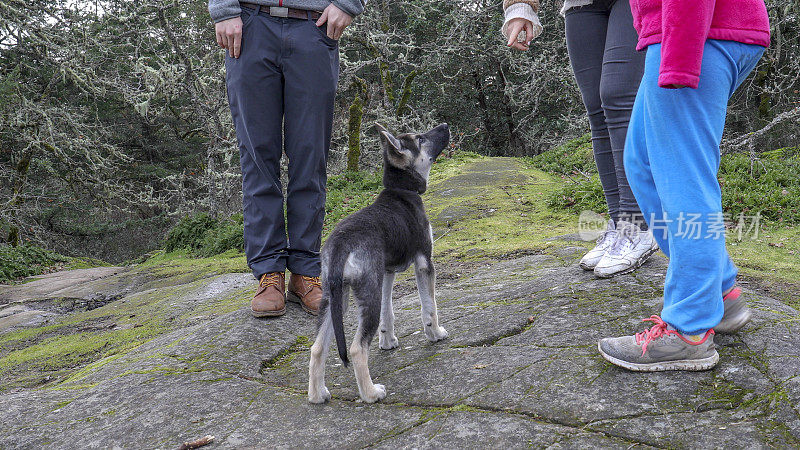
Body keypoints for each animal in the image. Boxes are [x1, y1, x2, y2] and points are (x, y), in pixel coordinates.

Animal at [310, 123, 450, 404]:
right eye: (420, 138)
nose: (446, 126)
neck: (402, 191)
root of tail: (341, 244)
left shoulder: (385, 273)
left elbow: (389, 312)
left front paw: (388, 342)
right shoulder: (424, 263)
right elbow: (429, 307)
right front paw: (436, 333)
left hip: (335, 297)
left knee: (318, 347)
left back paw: (317, 395)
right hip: (366, 295)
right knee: (356, 348)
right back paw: (371, 393)